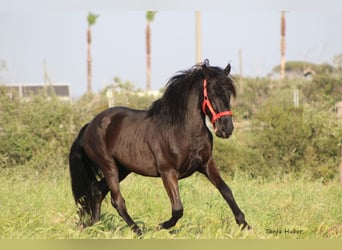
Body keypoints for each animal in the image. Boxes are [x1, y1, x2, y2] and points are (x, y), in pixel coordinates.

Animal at [70, 59, 251, 234]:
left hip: (122, 168)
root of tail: (90, 125)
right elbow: (178, 209)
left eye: (229, 93)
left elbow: (226, 191)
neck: (184, 131)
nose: (226, 129)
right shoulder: (168, 172)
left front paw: (245, 225)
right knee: (117, 201)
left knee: (98, 191)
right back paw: (139, 231)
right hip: (109, 167)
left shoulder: (206, 164)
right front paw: (159, 227)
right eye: (213, 93)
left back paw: (90, 225)